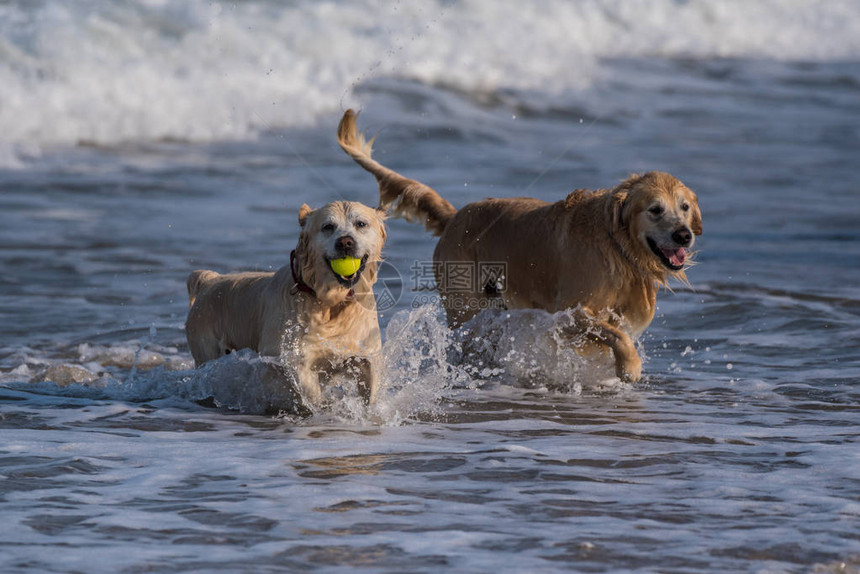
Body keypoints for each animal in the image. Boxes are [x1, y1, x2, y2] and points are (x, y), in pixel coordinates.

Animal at [189, 200, 390, 408]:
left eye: (361, 224)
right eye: (328, 226)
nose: (345, 242)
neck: (331, 303)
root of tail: (210, 281)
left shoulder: (368, 354)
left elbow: (371, 389)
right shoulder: (295, 358)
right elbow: (311, 392)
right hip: (206, 352)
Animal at [334, 110, 700, 384]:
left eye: (684, 207)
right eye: (655, 209)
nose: (684, 235)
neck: (617, 249)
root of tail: (454, 217)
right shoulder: (570, 312)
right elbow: (613, 334)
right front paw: (630, 367)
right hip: (466, 309)